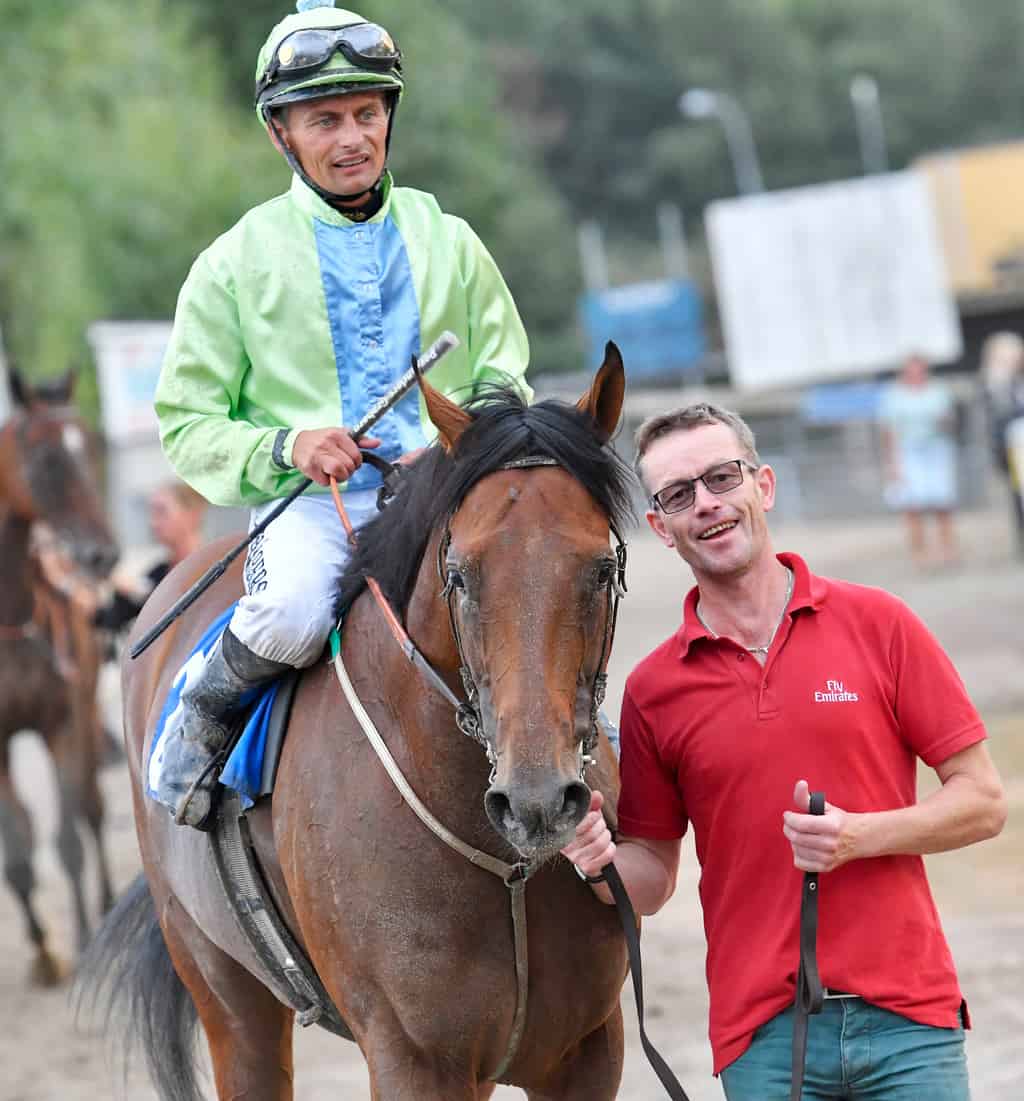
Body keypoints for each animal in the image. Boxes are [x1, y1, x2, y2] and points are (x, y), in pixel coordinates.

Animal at [82, 347, 638, 1096]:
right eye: (459, 575)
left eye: (601, 569)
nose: (538, 801)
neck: (506, 866)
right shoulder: (412, 1057)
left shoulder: (585, 1049)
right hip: (225, 991)